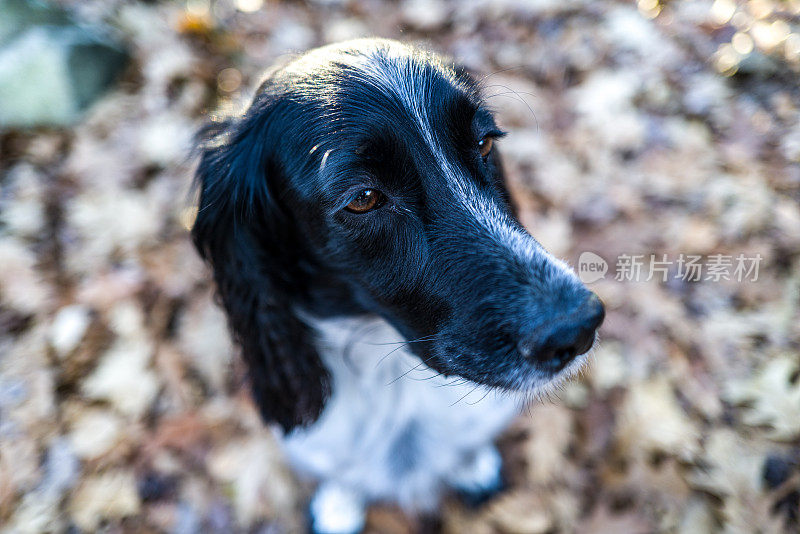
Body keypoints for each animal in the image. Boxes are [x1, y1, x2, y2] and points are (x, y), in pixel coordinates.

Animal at [194, 38, 604, 534]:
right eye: (363, 198)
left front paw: (471, 466)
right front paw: (340, 505)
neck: (389, 373)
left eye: (485, 142)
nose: (577, 327)